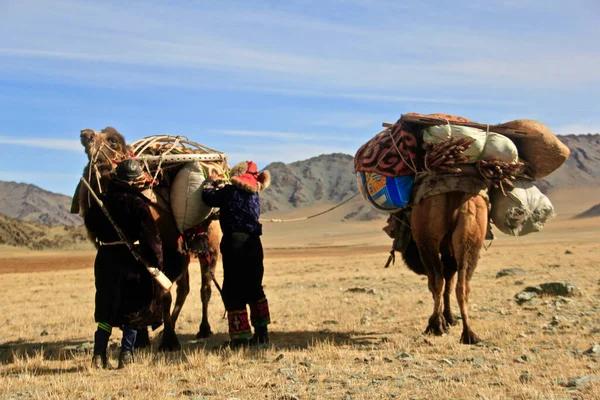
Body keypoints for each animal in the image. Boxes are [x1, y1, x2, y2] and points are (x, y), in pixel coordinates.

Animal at [73, 126, 223, 348]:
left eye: (112, 140)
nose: (85, 133)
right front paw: (144, 338)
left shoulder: (168, 251)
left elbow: (163, 295)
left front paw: (169, 342)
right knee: (183, 289)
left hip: (210, 249)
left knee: (204, 288)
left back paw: (203, 329)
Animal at [400, 191, 490, 344]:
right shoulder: (448, 251)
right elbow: (448, 281)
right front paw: (449, 319)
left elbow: (440, 283)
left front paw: (447, 319)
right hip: (470, 229)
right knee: (461, 285)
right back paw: (467, 334)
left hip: (426, 238)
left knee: (438, 281)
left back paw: (436, 327)